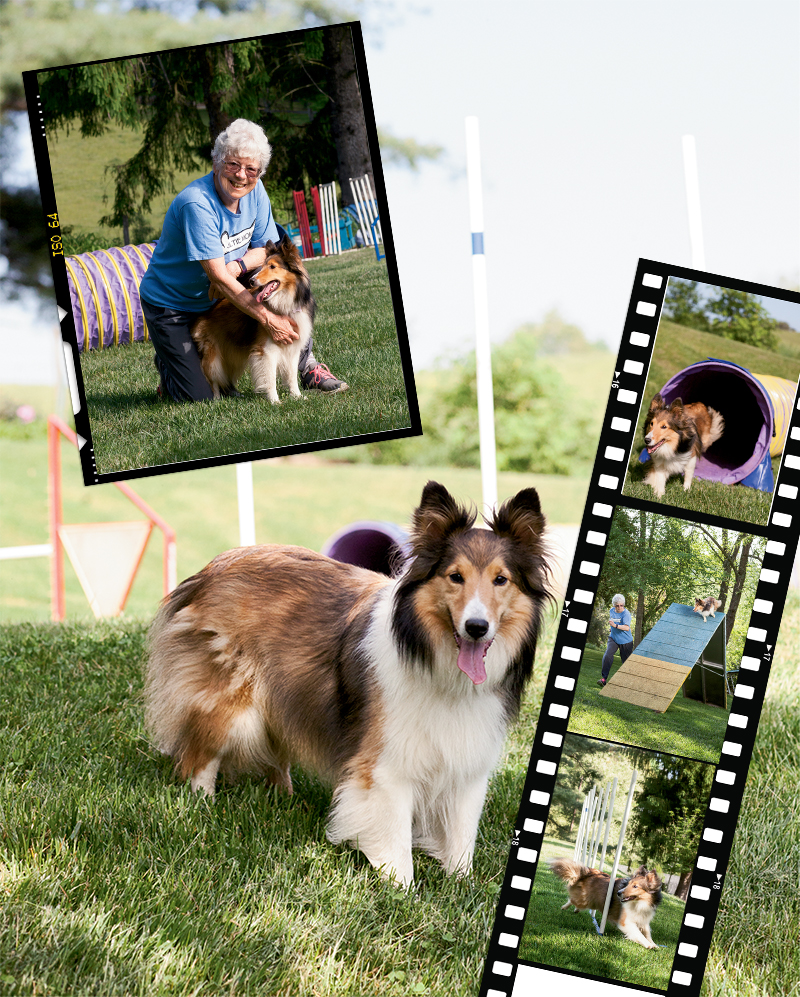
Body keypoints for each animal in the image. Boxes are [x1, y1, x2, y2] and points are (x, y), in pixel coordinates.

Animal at [145, 478, 552, 884]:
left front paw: (460, 884)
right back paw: (203, 805)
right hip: (233, 705)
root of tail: (212, 568)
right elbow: (395, 838)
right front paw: (400, 888)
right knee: (199, 756)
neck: (434, 660)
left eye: (500, 580)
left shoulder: (468, 763)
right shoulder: (388, 763)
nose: (476, 627)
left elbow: (461, 835)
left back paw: (282, 798)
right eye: (455, 576)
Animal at [192, 232, 314, 400]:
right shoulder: (266, 351)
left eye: (272, 267)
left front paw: (297, 397)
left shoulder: (292, 349)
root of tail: (202, 314)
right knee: (213, 380)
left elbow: (291, 376)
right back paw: (216, 400)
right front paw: (275, 401)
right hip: (213, 357)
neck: (284, 300)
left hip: (231, 356)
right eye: (263, 266)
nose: (251, 280)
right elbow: (269, 378)